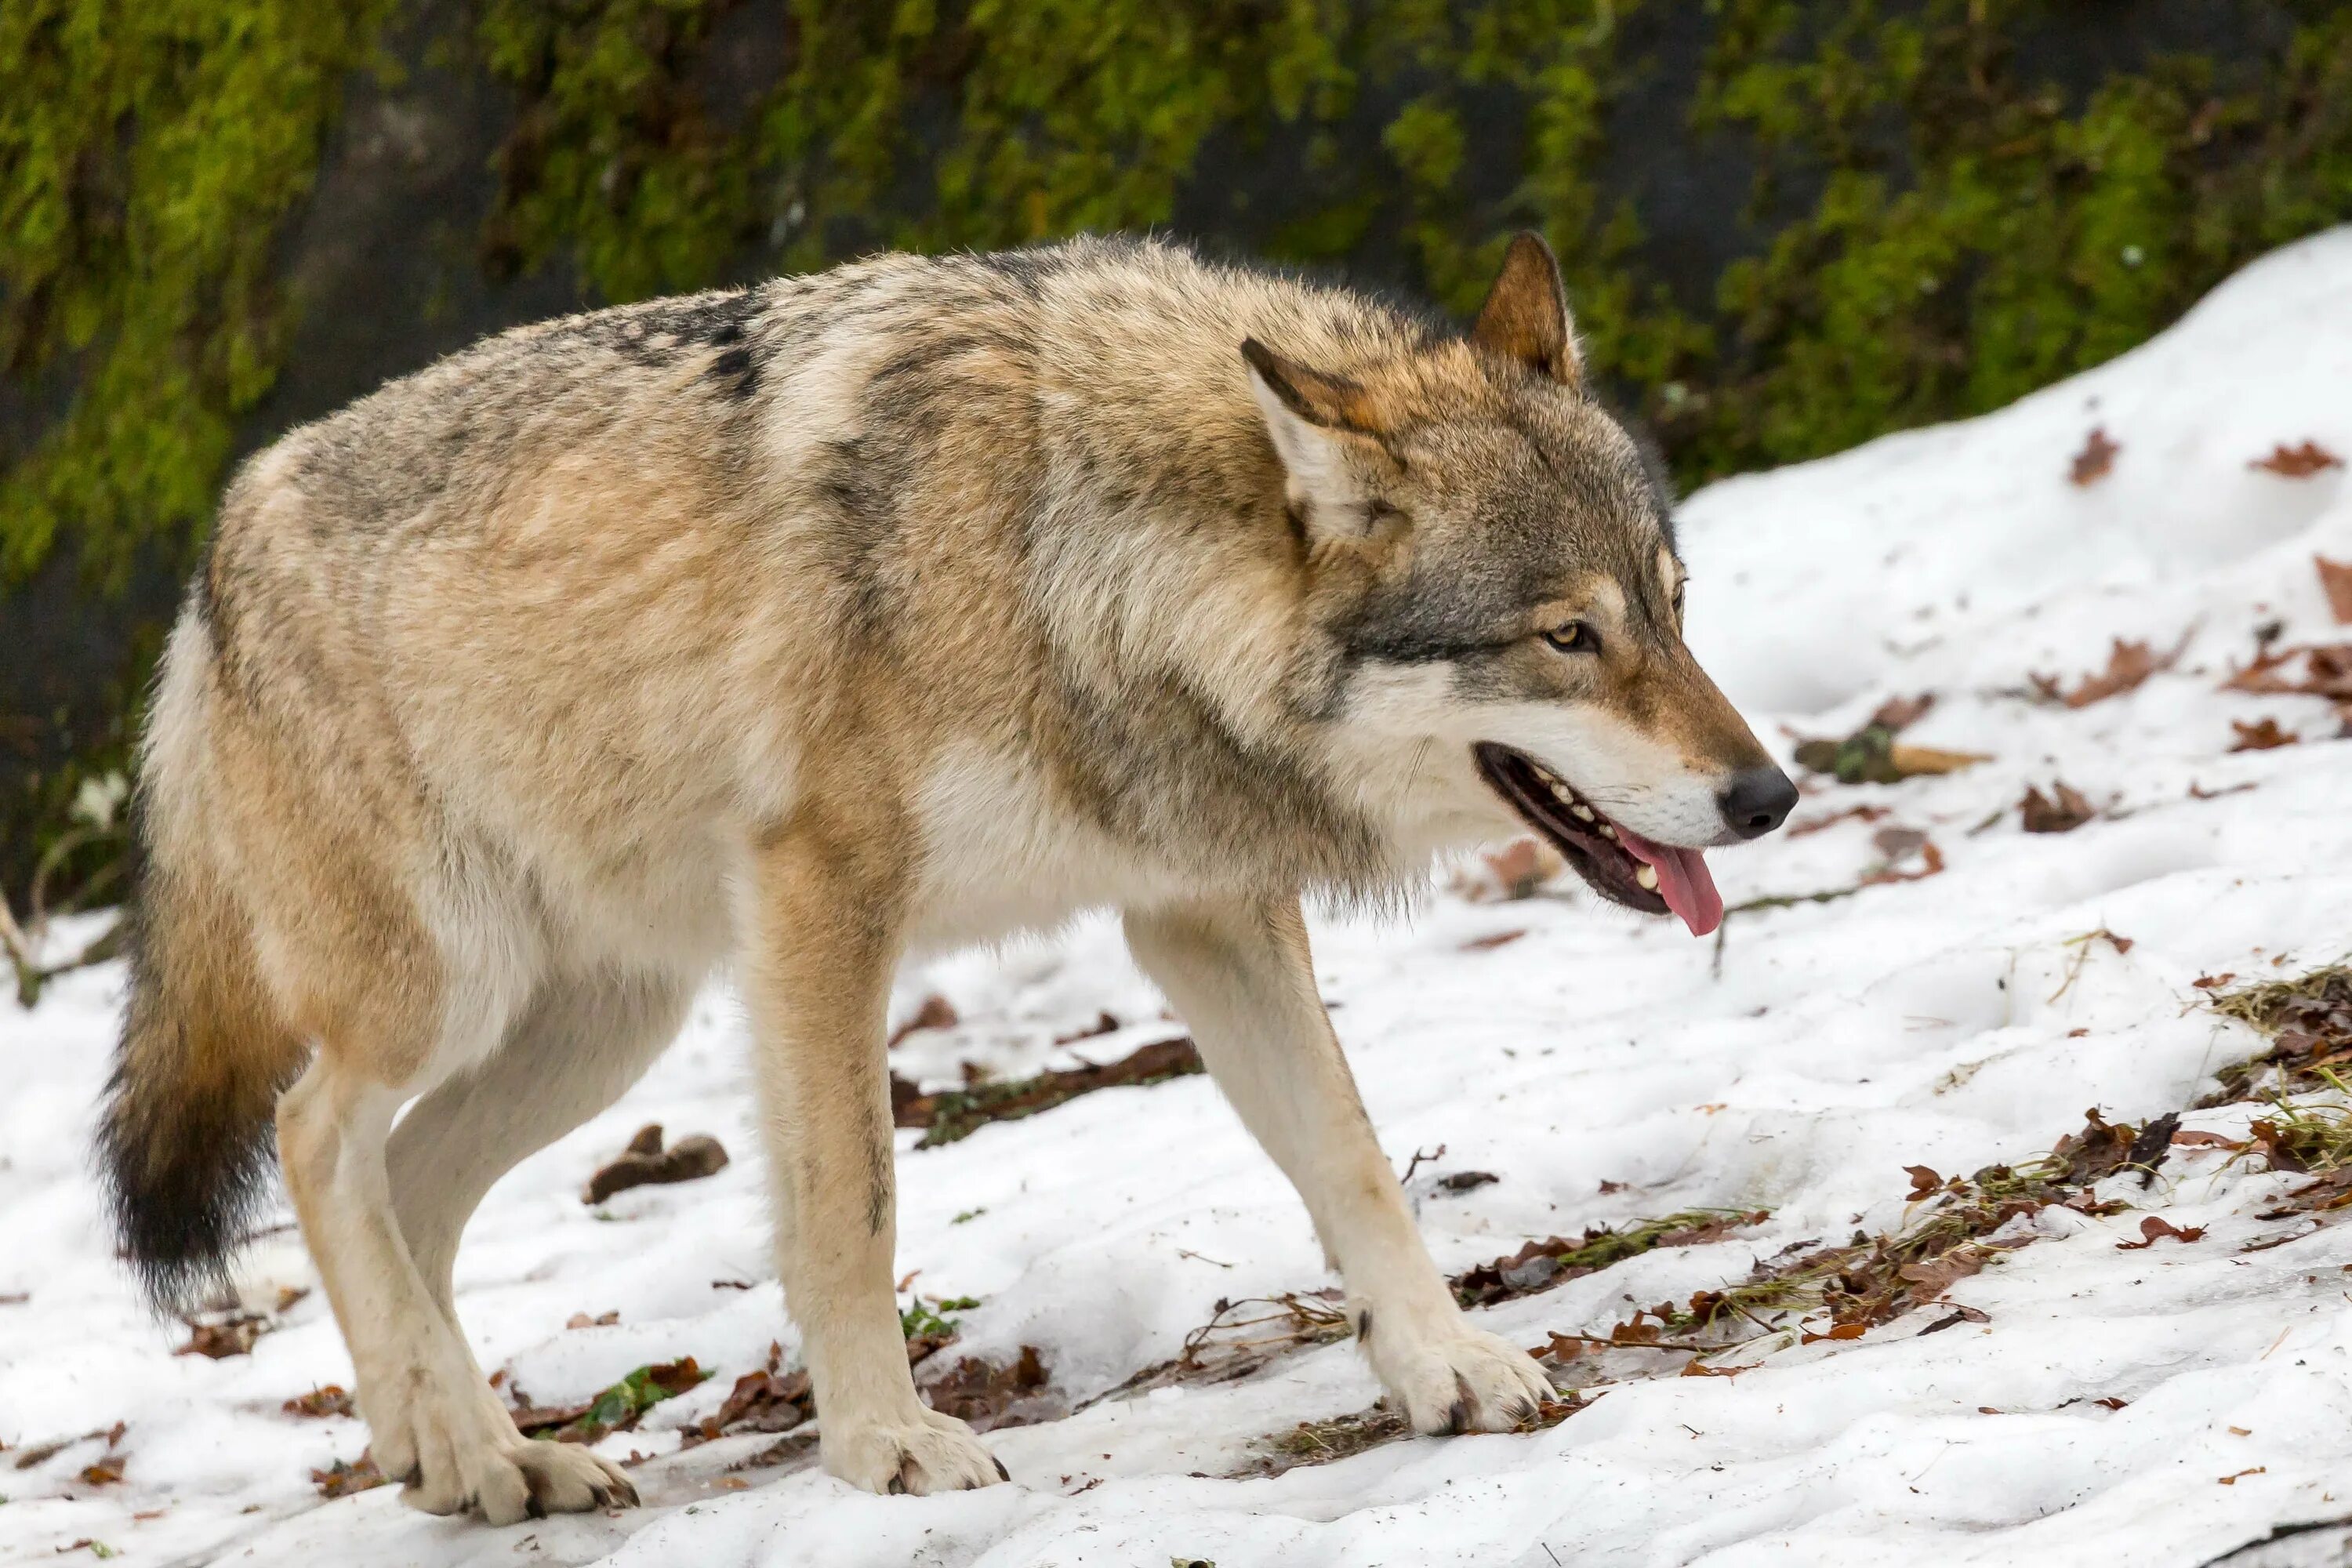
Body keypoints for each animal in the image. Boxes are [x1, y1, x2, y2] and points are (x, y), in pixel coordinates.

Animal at [87, 230, 1778, 1523]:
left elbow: (1352, 1156)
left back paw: (473, 1449)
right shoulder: (825, 902)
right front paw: (885, 1446)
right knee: (316, 1139)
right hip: (453, 990)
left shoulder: (1203, 910)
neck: (1066, 552)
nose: (1766, 796)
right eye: (1568, 637)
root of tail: (214, 548)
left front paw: (1445, 1364)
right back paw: (457, 1446)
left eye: (1678, 607)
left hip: (602, 1030)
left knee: (412, 1186)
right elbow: (856, 1196)